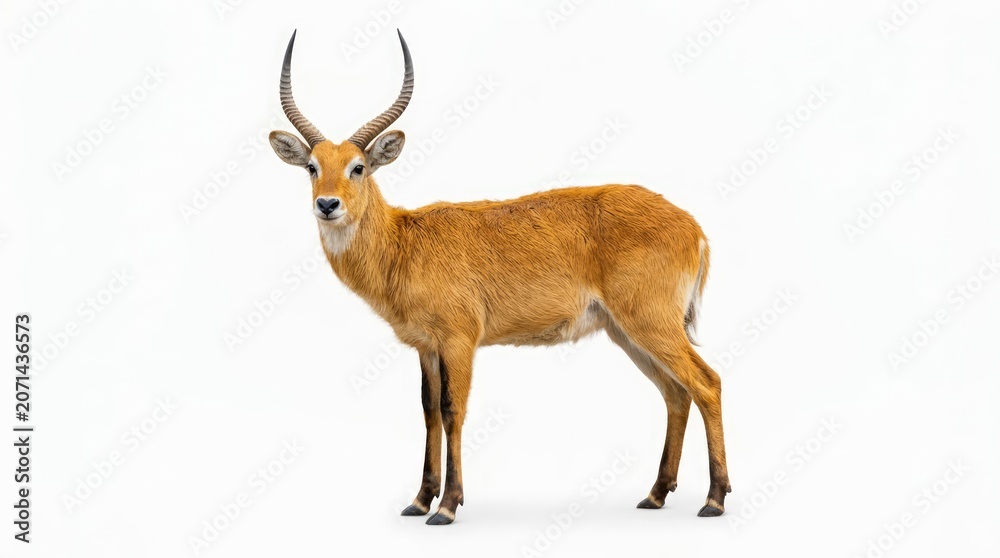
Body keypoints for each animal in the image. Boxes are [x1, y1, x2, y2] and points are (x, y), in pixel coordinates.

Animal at [268, 30, 732, 525]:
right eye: (312, 167)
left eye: (358, 167)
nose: (327, 204)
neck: (403, 244)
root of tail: (693, 226)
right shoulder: (426, 347)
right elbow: (428, 411)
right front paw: (419, 499)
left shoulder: (458, 340)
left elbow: (453, 410)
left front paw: (447, 506)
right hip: (626, 331)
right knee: (676, 393)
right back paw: (656, 494)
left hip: (650, 323)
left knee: (707, 383)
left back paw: (714, 499)